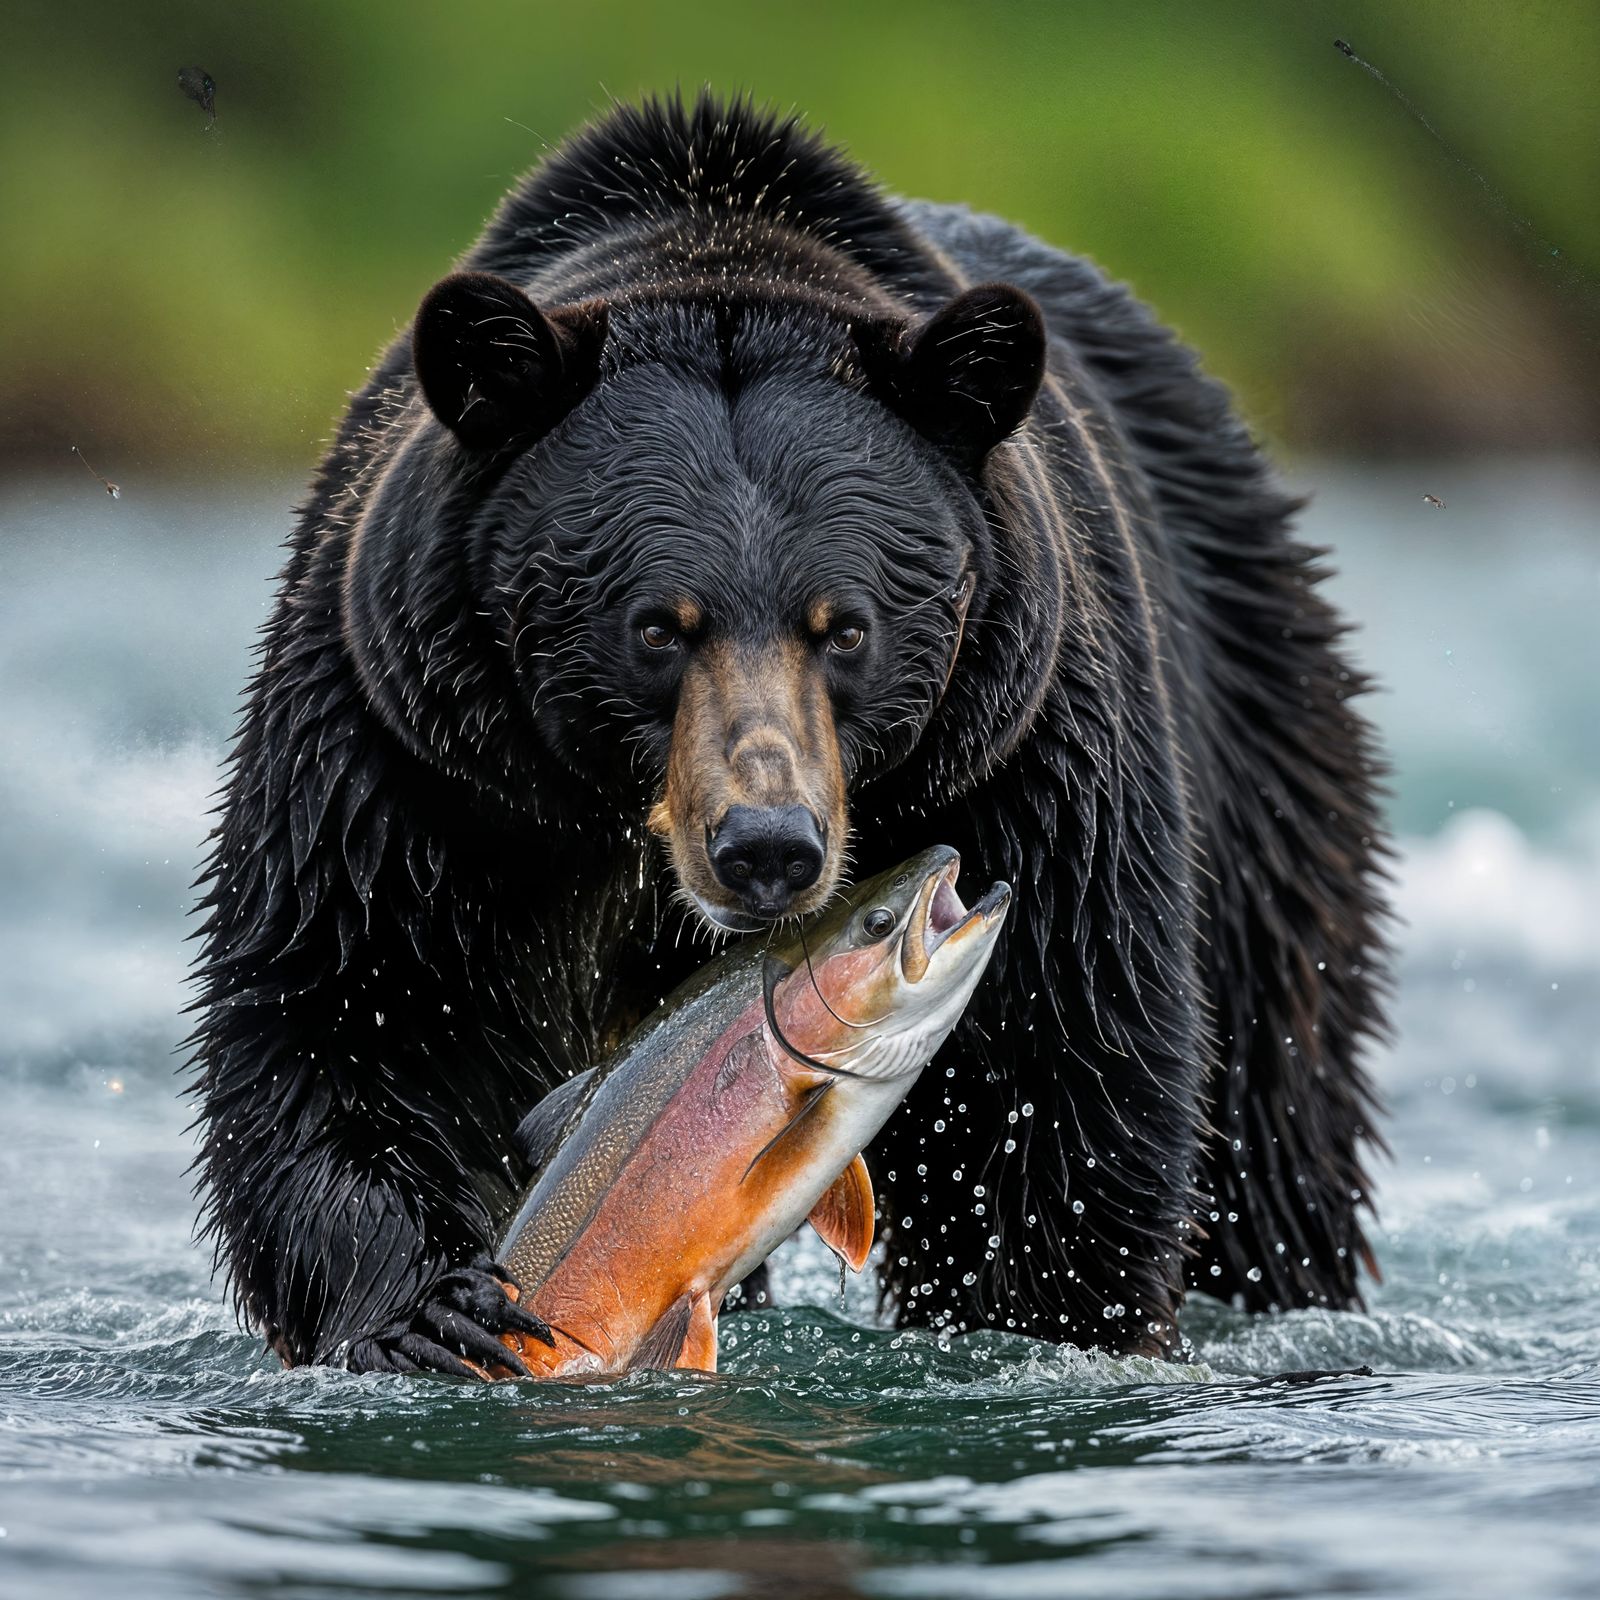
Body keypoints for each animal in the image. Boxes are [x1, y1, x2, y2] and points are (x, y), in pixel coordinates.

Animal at [191, 92, 1388, 1374]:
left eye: (846, 625)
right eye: (657, 624)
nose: (766, 846)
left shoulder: (1034, 755)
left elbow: (1066, 1071)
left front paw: (1044, 1322)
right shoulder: (408, 761)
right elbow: (341, 1008)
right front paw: (433, 1310)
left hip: (1256, 737)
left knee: (1272, 1117)